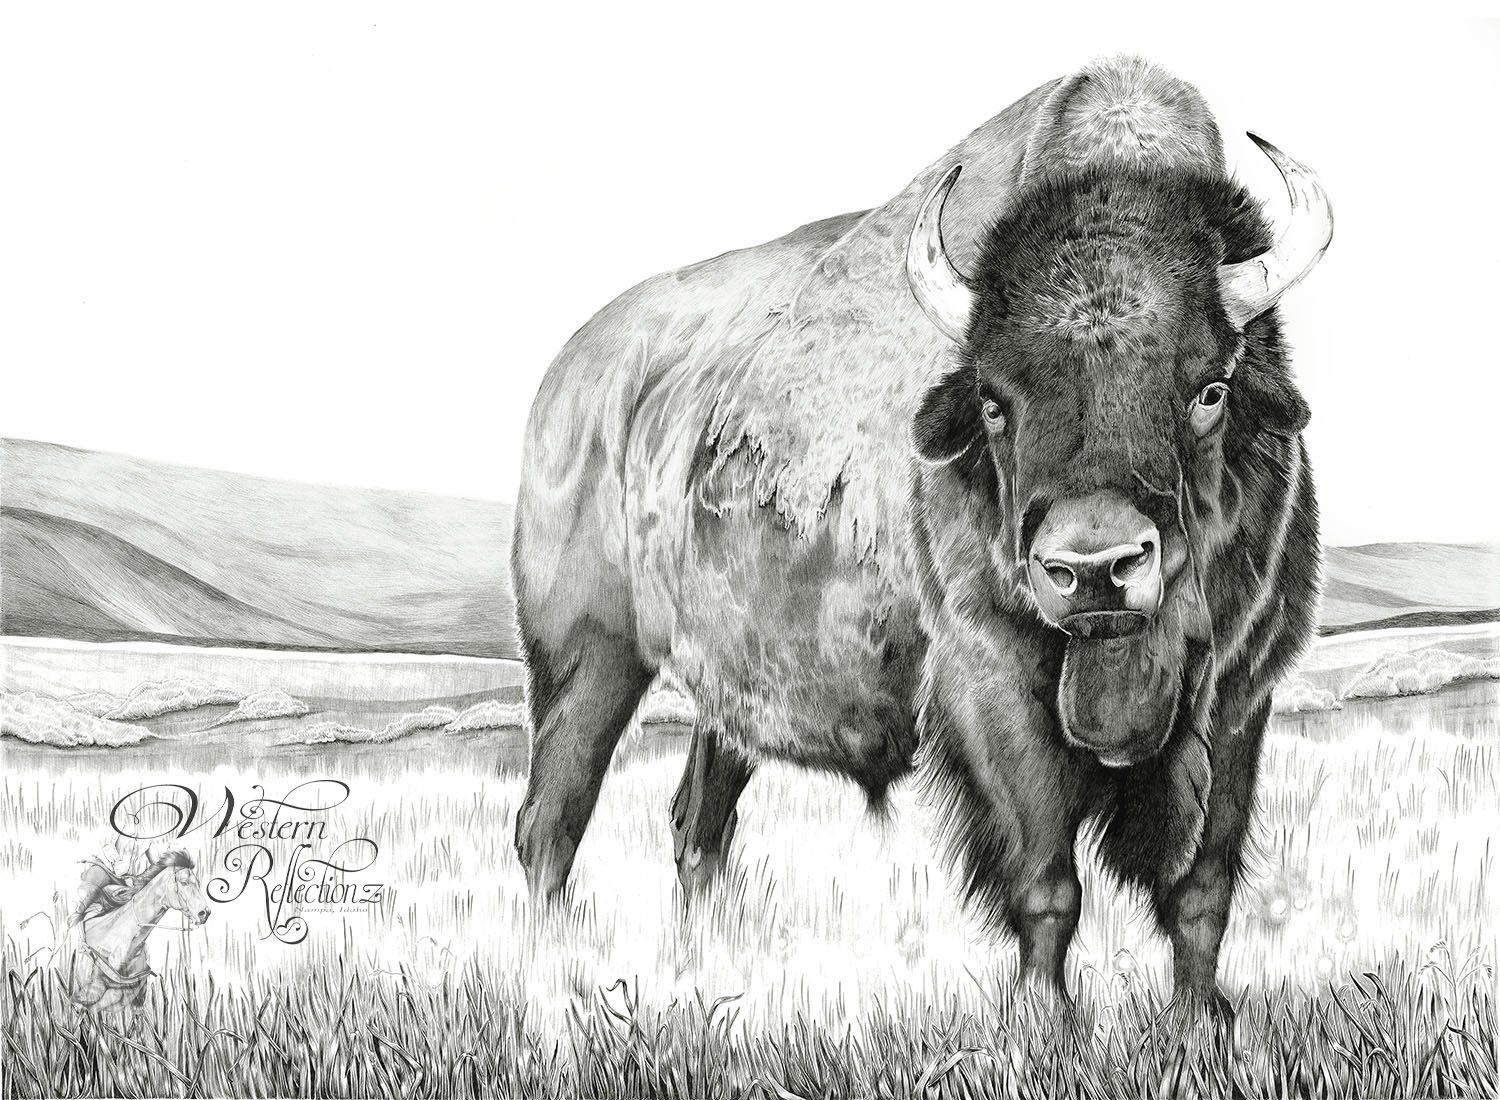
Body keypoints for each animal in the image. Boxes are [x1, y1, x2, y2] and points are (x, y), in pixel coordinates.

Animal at [512, 55, 1330, 1012]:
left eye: (1210, 387)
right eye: (994, 400)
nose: (1093, 568)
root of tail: (573, 376)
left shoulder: (1240, 693)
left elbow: (1202, 886)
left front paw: (1201, 1022)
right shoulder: (991, 689)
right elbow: (1048, 882)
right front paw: (1046, 1022)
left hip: (727, 693)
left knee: (697, 825)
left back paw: (703, 971)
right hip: (585, 660)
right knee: (551, 823)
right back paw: (546, 974)